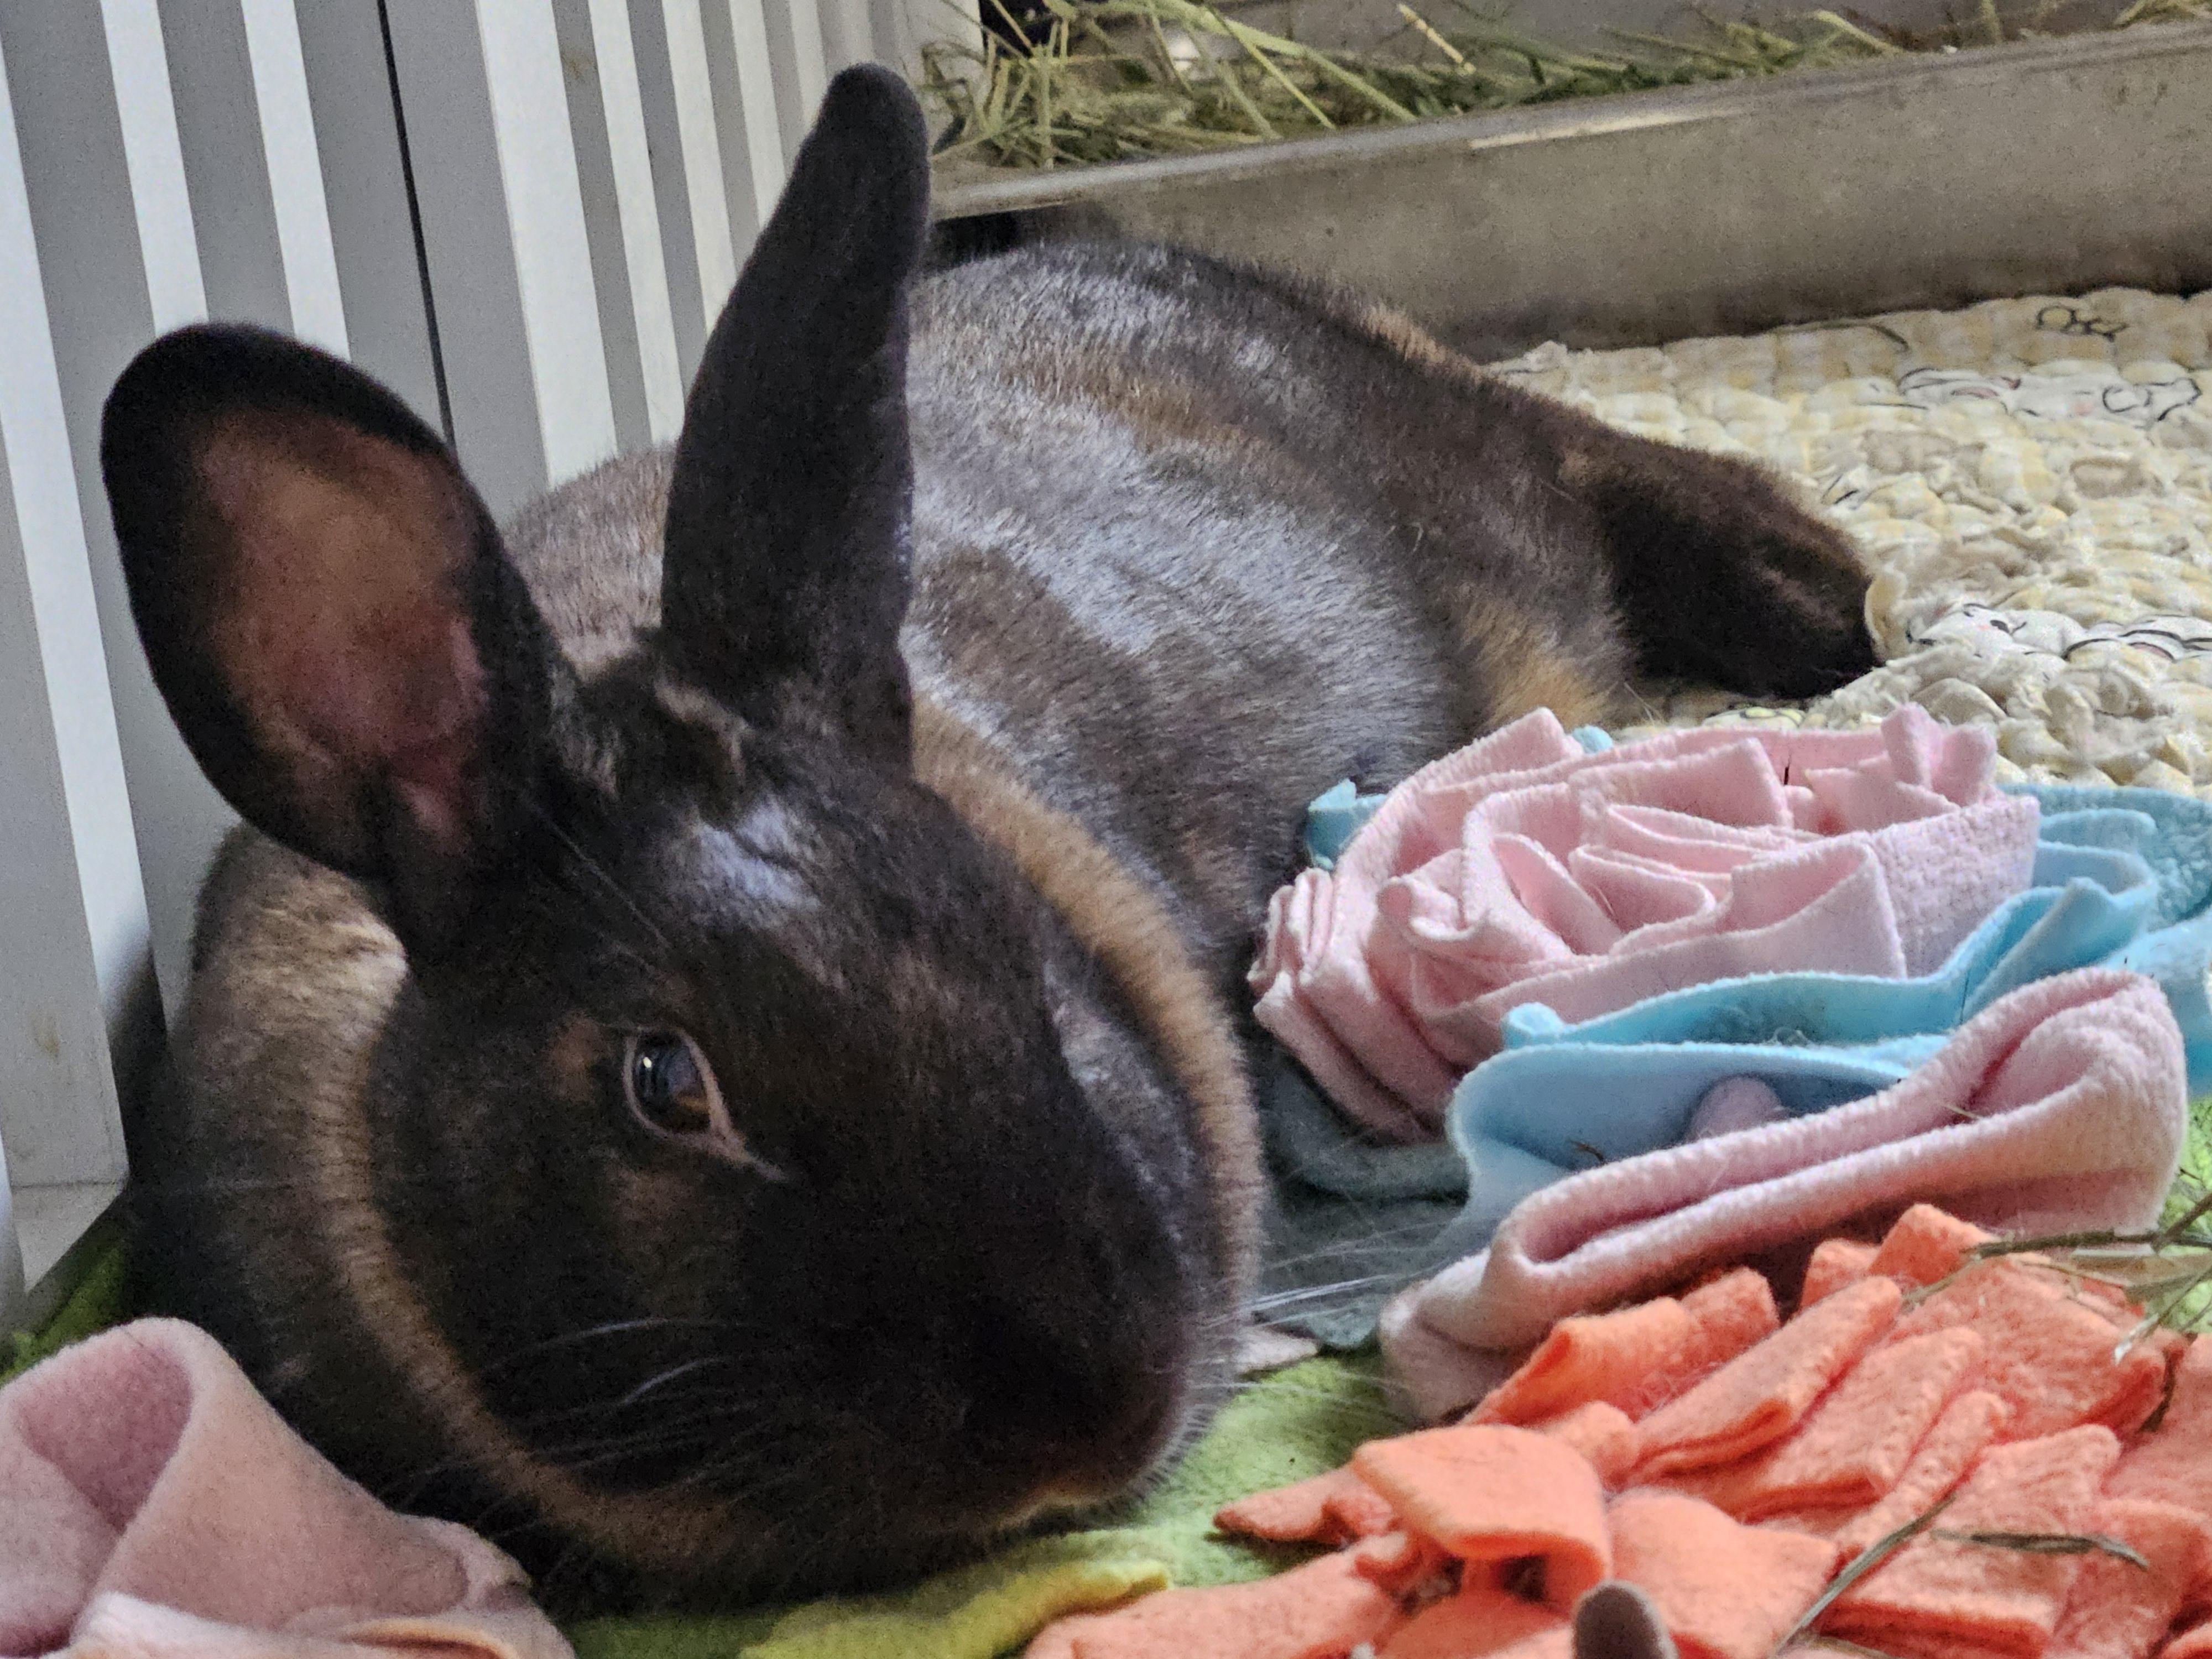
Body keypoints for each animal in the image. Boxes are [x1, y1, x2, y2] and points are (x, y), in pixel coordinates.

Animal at [99, 63, 1871, 1606]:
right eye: (664, 1084)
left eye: (1022, 956)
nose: (1084, 1417)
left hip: (1489, 516)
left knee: (1574, 449)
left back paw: (1819, 605)